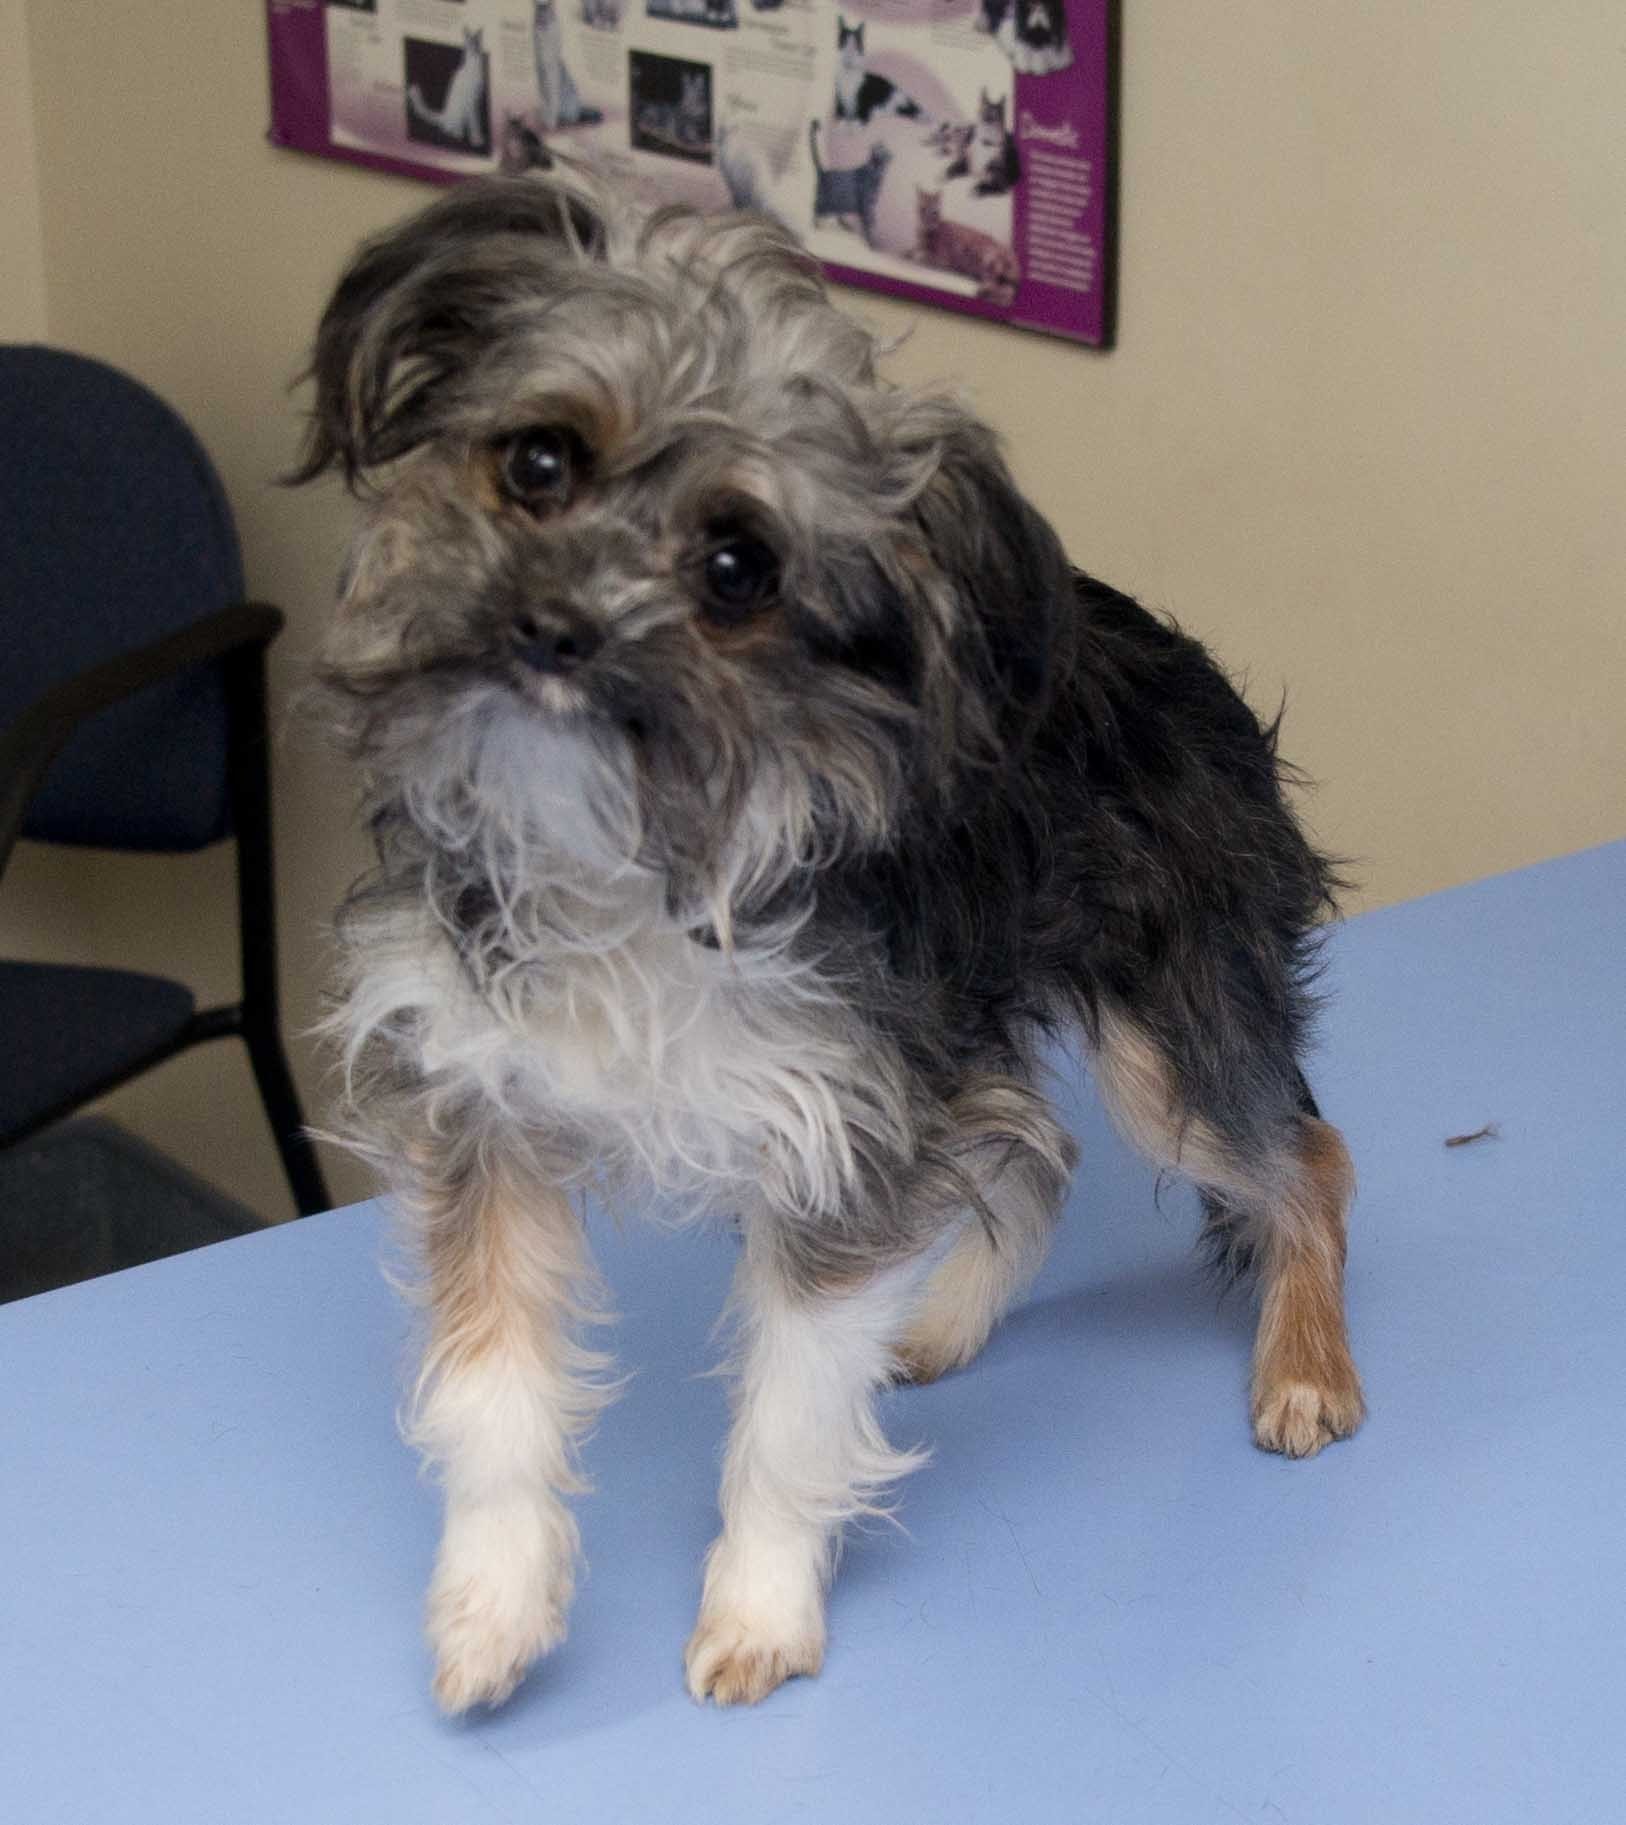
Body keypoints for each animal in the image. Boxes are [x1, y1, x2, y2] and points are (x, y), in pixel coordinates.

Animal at [294, 171, 1365, 1713]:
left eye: (738, 567)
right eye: (538, 462)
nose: (550, 626)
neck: (633, 841)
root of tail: (1181, 665)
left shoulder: (844, 1137)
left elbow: (791, 1413)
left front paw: (759, 1607)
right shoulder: (481, 1117)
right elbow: (489, 1383)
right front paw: (493, 1604)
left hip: (1169, 1036)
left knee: (1304, 1158)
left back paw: (1303, 1367)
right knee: (1039, 1149)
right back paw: (945, 1323)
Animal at [533, 0, 603, 131]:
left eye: (547, 17)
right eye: (538, 17)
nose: (542, 24)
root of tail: (579, 108)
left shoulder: (551, 73)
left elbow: (552, 103)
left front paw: (550, 124)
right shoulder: (540, 72)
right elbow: (544, 102)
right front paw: (544, 118)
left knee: (573, 119)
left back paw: (562, 121)